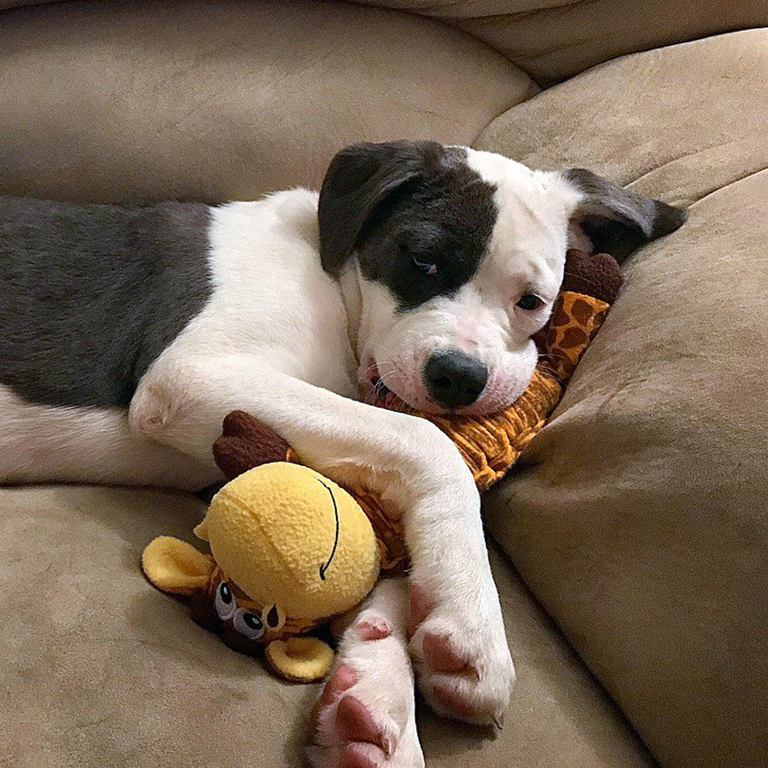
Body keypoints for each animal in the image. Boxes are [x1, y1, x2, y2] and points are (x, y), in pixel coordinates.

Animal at [0, 141, 684, 764]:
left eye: (532, 302)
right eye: (423, 261)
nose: (459, 378)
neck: (334, 286)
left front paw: (376, 691)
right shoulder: (194, 377)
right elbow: (427, 443)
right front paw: (471, 620)